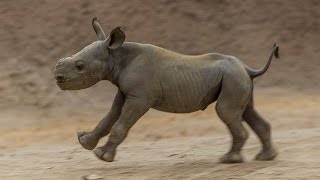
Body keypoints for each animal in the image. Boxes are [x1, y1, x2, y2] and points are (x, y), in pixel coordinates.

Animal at [53, 17, 278, 163]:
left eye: (80, 66)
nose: (57, 77)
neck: (115, 56)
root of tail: (248, 68)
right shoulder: (126, 92)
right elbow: (108, 118)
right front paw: (85, 143)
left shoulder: (140, 97)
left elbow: (120, 125)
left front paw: (103, 156)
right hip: (237, 78)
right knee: (246, 110)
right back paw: (265, 158)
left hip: (233, 78)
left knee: (226, 111)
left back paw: (228, 160)